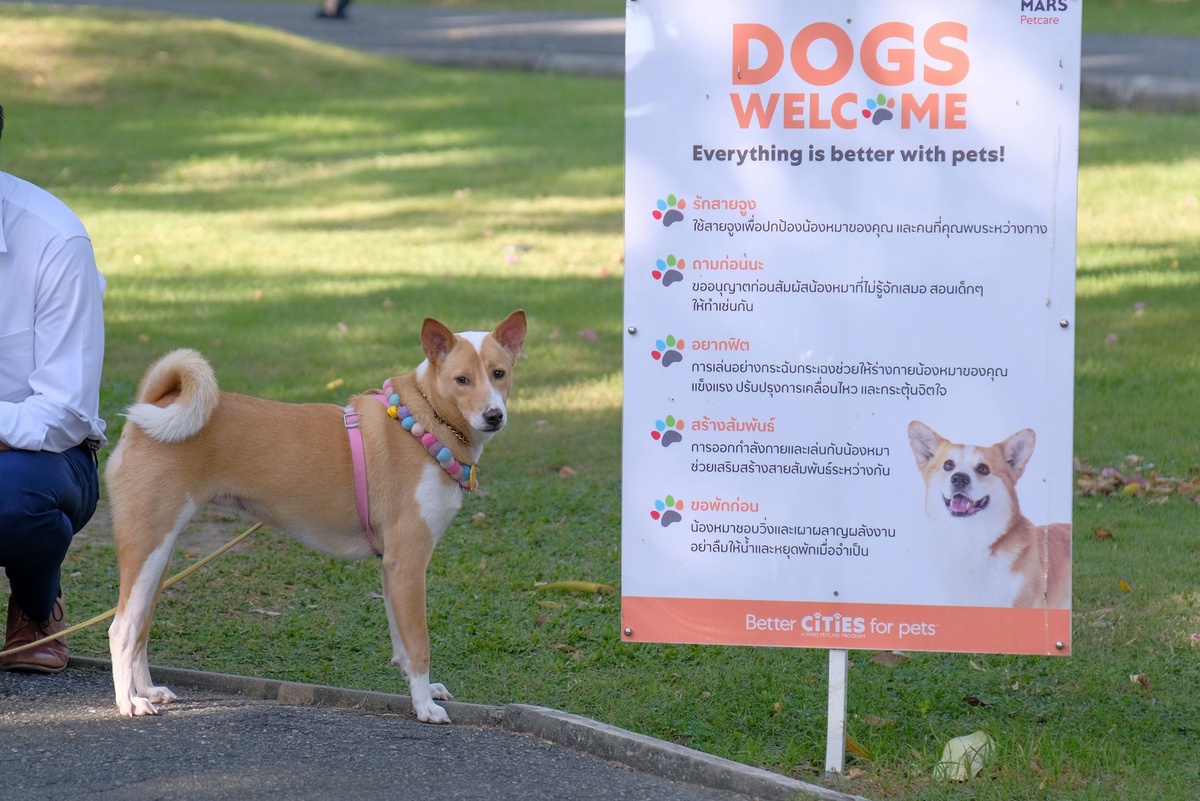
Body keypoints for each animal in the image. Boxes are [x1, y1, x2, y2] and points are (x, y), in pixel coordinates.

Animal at [105, 311, 528, 719]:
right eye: (461, 379)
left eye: (499, 373)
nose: (494, 415)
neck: (424, 421)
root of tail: (153, 405)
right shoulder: (408, 563)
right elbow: (419, 645)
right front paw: (424, 706)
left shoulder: (392, 567)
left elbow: (403, 647)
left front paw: (419, 691)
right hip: (147, 548)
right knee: (121, 630)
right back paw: (129, 702)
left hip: (159, 557)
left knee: (140, 629)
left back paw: (147, 690)